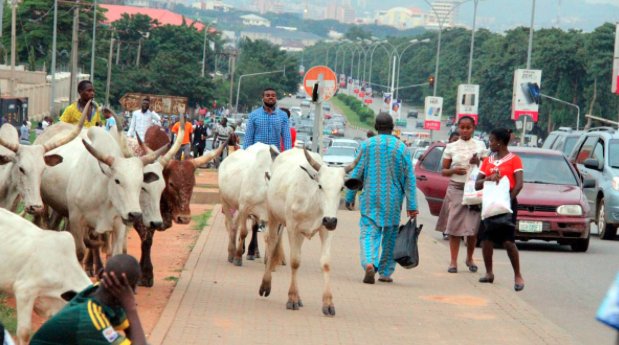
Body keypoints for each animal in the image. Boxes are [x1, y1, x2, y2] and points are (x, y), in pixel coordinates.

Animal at [258, 146, 364, 316]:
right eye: (320, 186)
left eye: (341, 188)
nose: (330, 220)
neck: (312, 200)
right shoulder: (292, 228)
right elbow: (295, 262)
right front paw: (292, 298)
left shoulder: (326, 230)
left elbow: (325, 263)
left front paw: (328, 303)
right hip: (273, 216)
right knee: (273, 243)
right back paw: (266, 285)